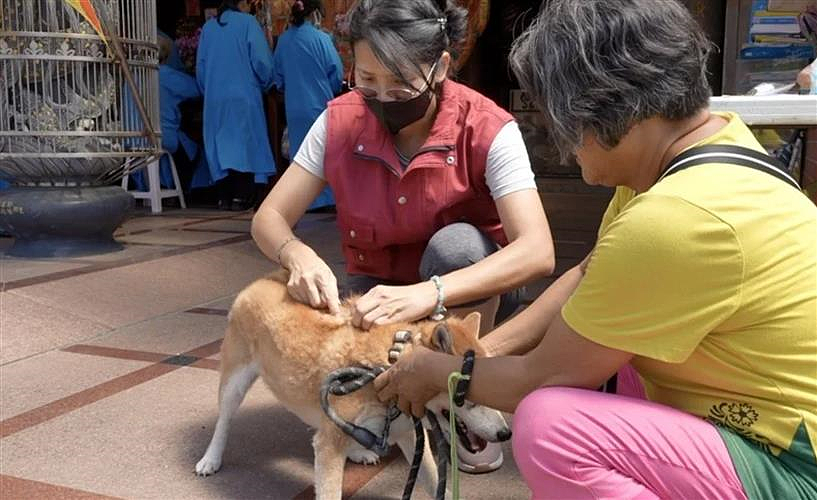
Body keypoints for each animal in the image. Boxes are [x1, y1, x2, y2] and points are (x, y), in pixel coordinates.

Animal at [194, 272, 506, 498]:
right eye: (467, 396)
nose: (506, 433)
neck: (384, 371)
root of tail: (261, 281)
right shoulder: (329, 446)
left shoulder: (408, 433)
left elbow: (431, 480)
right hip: (234, 382)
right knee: (224, 421)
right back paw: (211, 459)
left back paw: (359, 451)